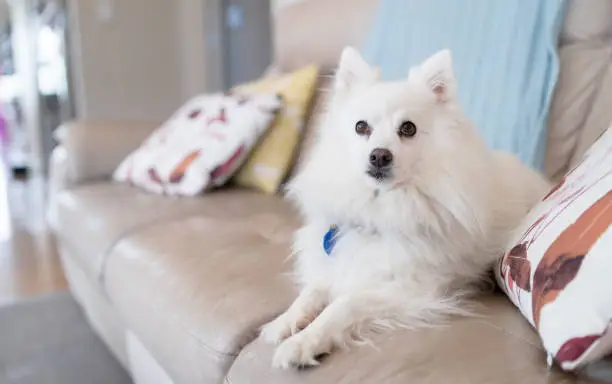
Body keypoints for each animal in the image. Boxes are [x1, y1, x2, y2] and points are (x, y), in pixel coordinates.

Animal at [260, 47, 552, 368]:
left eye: (408, 129)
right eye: (361, 127)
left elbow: (344, 303)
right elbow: (312, 292)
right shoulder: (338, 265)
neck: (381, 206)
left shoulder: (413, 289)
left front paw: (303, 343)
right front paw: (284, 322)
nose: (379, 155)